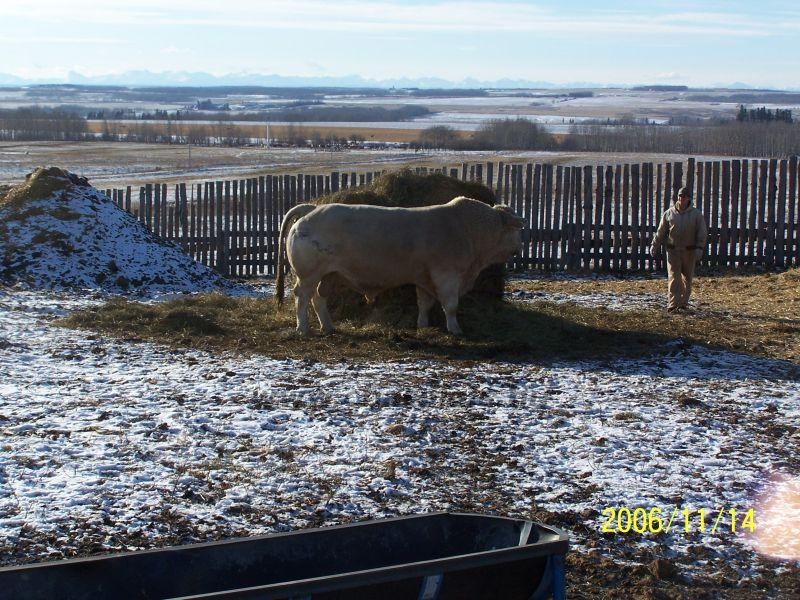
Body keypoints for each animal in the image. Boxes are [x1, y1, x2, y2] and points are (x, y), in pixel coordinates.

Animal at [276, 199, 524, 336]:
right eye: (516, 229)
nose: (519, 247)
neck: (467, 230)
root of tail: (312, 208)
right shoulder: (447, 275)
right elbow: (450, 305)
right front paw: (455, 329)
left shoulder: (424, 277)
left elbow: (424, 304)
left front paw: (423, 326)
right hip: (308, 274)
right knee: (302, 297)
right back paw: (303, 328)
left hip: (329, 275)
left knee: (318, 298)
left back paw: (328, 327)